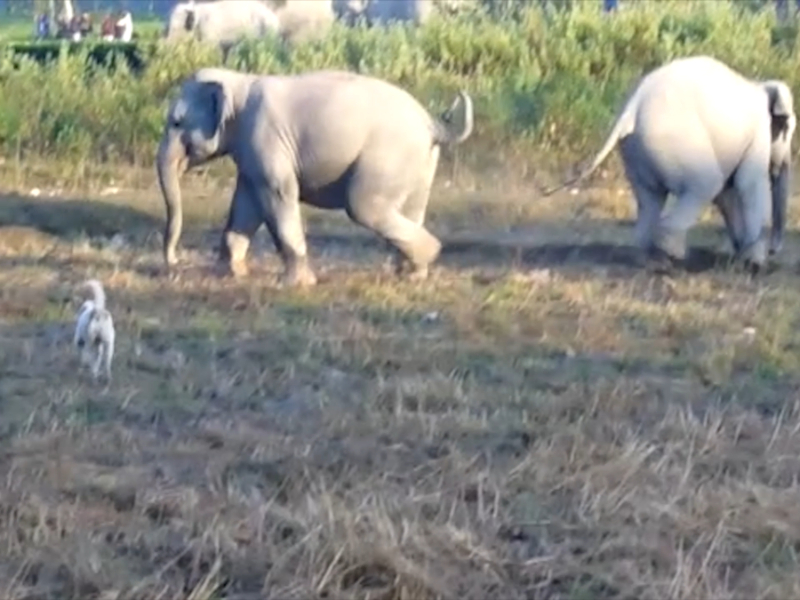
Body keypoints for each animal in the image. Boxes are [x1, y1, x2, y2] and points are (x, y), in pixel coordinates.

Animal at [155, 67, 476, 288]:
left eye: (176, 122)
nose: (174, 263)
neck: (240, 83)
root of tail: (433, 125)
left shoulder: (265, 138)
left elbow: (279, 194)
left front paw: (295, 284)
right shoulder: (250, 155)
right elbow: (246, 203)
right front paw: (231, 273)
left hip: (388, 157)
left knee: (363, 206)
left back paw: (428, 255)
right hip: (421, 165)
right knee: (411, 210)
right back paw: (411, 274)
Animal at [544, 55, 792, 270]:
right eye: (786, 129)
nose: (774, 251)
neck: (761, 85)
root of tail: (631, 108)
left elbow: (727, 193)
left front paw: (744, 256)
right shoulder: (758, 133)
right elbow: (747, 183)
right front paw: (754, 263)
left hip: (636, 151)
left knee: (651, 198)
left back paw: (650, 260)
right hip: (674, 141)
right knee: (706, 184)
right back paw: (671, 257)